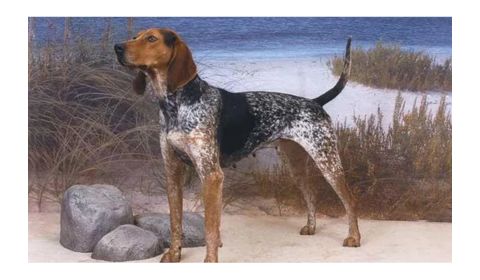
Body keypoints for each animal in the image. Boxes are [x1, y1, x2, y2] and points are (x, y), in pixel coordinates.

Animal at [113, 28, 360, 262]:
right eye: (135, 36)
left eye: (151, 38)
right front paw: (174, 255)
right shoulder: (172, 172)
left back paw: (354, 237)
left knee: (350, 199)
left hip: (328, 161)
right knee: (311, 195)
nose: (117, 47)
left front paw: (210, 261)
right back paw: (311, 227)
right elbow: (175, 222)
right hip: (295, 165)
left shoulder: (211, 175)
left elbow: (211, 229)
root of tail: (315, 102)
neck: (176, 106)